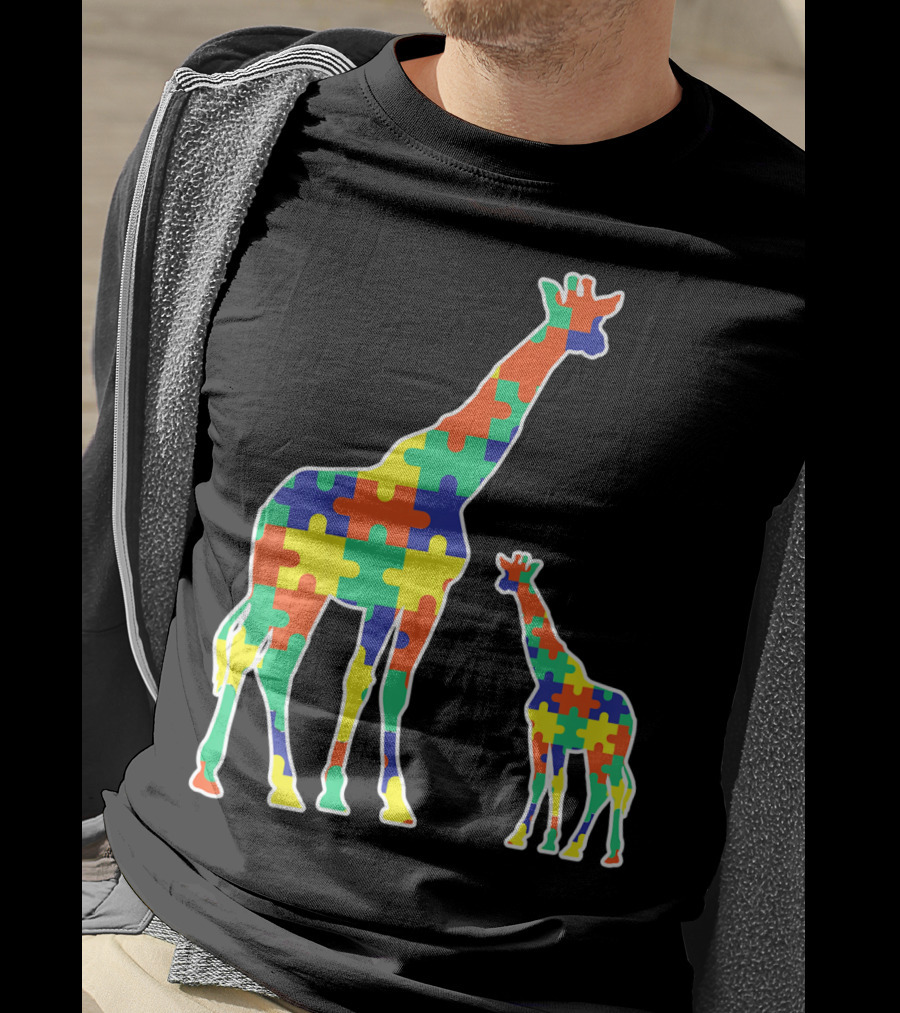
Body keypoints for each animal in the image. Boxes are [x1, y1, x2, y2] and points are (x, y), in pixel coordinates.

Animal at [189, 272, 624, 828]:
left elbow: (378, 686)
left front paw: (359, 798)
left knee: (270, 662)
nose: (599, 345)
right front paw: (367, 798)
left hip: (302, 592)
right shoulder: (405, 596)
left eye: (598, 318)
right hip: (280, 581)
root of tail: (268, 505)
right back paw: (220, 777)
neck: (453, 483)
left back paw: (282, 786)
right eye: (576, 318)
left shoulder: (403, 600)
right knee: (249, 652)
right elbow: (378, 686)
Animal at [495, 551, 636, 864]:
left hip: (606, 751)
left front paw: (524, 837)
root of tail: (630, 717)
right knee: (611, 790)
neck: (545, 671)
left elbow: (543, 781)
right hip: (606, 753)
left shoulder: (541, 732)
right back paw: (588, 849)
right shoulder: (556, 739)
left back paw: (598, 852)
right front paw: (546, 841)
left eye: (514, 573)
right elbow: (556, 783)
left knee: (611, 789)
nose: (501, 583)